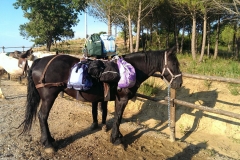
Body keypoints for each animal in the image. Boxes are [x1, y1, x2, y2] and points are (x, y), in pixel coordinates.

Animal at [20, 45, 182, 153]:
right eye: (175, 63)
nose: (179, 83)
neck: (130, 69)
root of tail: (38, 61)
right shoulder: (122, 99)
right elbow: (118, 118)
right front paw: (116, 139)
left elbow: (116, 117)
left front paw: (118, 136)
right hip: (49, 96)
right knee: (42, 116)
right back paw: (48, 145)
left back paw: (50, 140)